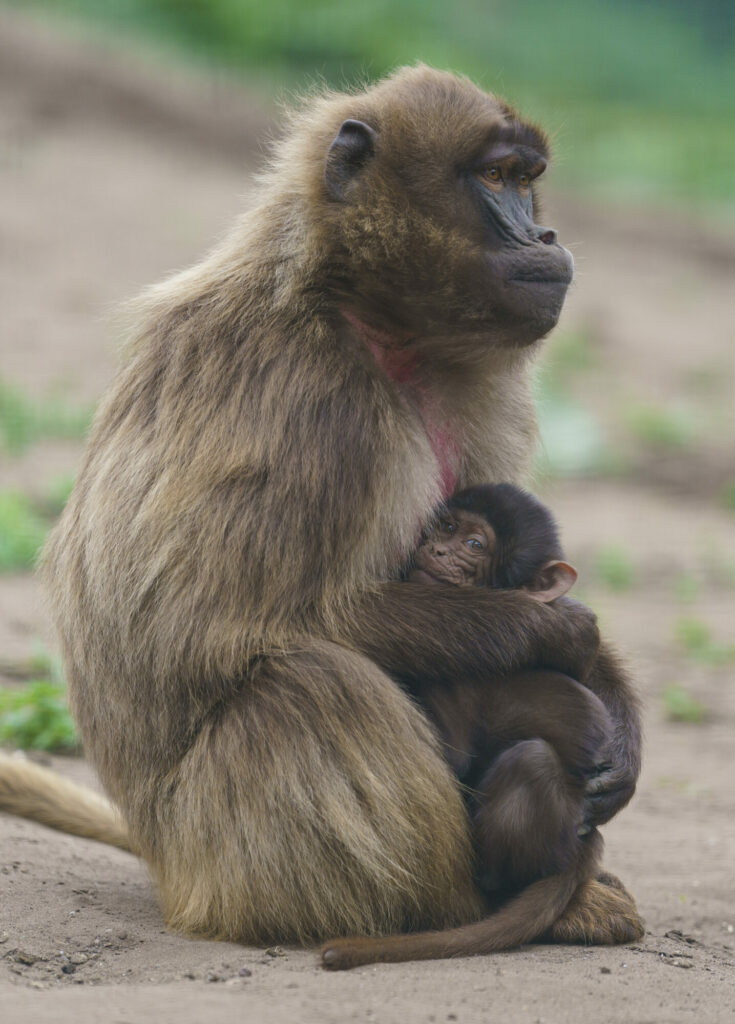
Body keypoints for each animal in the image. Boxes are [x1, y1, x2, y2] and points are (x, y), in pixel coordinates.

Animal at [0, 66, 642, 962]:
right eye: (494, 178)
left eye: (525, 180)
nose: (544, 234)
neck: (361, 316)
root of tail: (168, 870)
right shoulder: (304, 395)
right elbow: (227, 624)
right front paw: (557, 632)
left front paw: (615, 713)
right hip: (215, 854)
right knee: (306, 683)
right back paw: (456, 909)